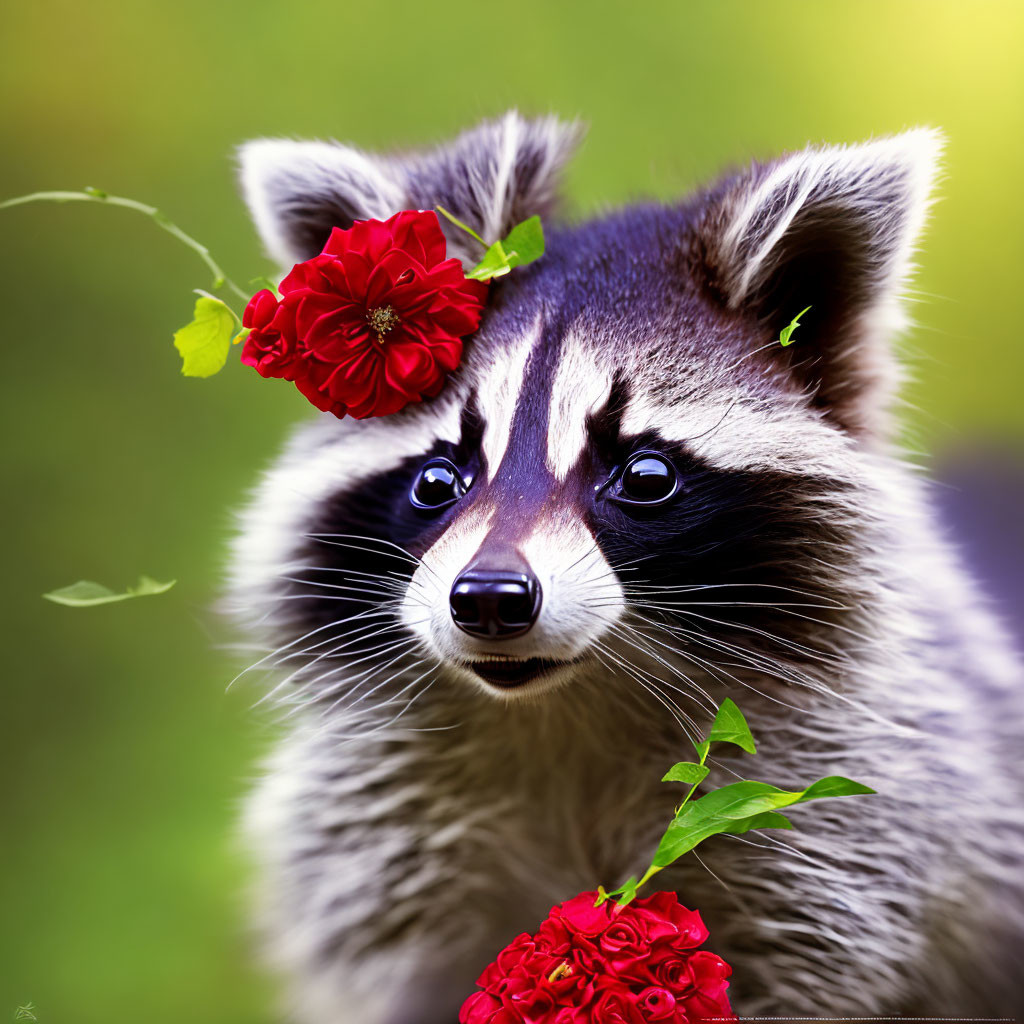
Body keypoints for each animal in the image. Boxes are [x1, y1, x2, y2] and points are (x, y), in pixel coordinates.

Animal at [226, 116, 1024, 1019]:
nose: (489, 598)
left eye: (644, 475)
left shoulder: (844, 834)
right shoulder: (381, 848)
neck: (565, 706)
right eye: (437, 481)